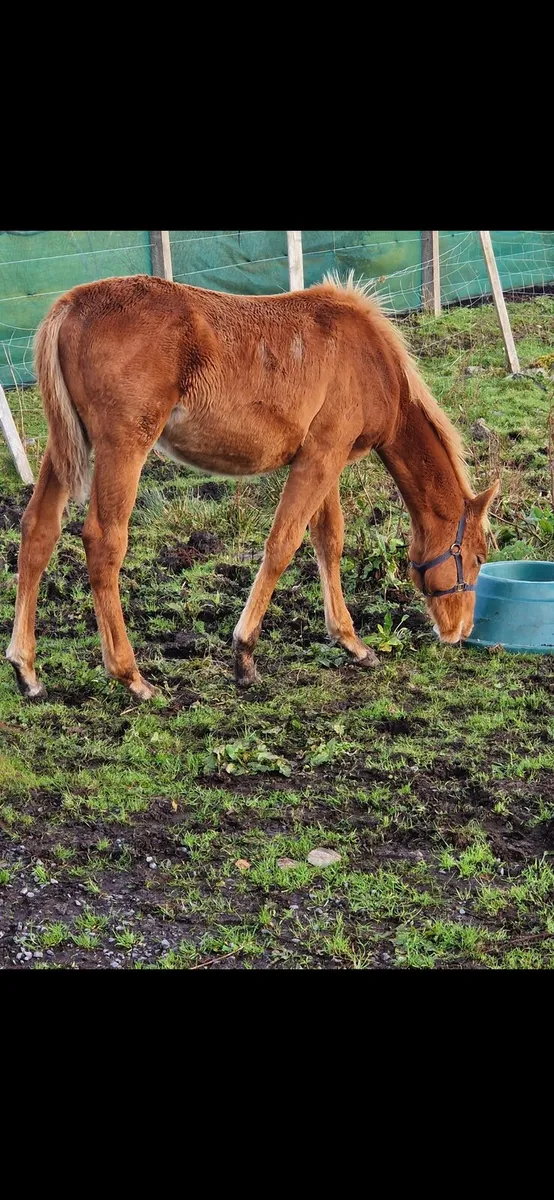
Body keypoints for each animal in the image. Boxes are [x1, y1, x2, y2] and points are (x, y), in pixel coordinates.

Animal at [6, 272, 499, 701]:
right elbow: (283, 544)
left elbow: (328, 540)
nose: (459, 632)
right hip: (122, 447)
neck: (371, 361)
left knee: (38, 530)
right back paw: (130, 675)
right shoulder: (322, 457)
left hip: (65, 448)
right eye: (477, 557)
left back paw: (26, 669)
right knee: (103, 543)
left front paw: (350, 641)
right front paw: (244, 654)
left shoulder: (324, 459)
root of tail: (71, 306)